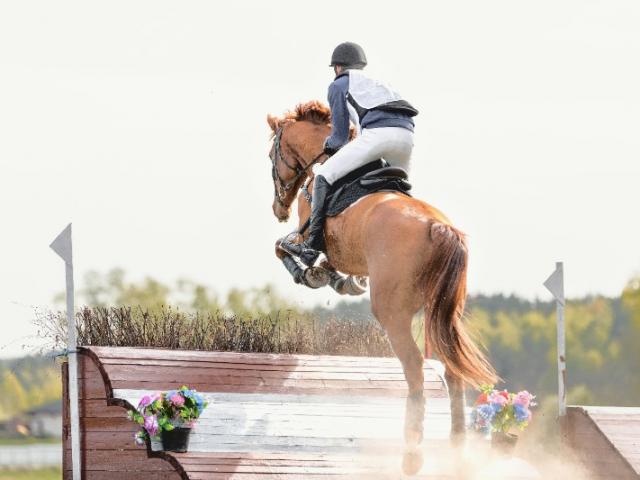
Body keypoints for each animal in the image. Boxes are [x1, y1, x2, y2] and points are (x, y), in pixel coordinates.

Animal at [264, 101, 496, 476]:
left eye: (272, 153)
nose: (278, 209)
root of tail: (438, 228)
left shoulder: (305, 231)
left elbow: (285, 248)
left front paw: (313, 274)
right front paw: (344, 281)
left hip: (392, 312)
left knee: (415, 367)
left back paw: (412, 453)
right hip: (442, 311)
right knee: (451, 369)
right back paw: (457, 452)